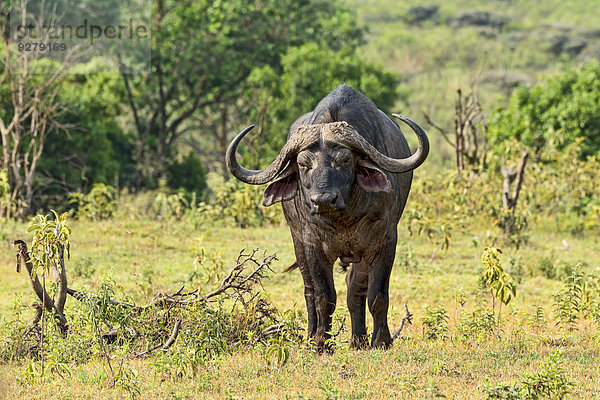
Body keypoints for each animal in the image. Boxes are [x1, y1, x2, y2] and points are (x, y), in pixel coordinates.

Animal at [227, 84, 428, 350]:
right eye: (303, 164)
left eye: (345, 160)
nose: (323, 200)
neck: (343, 217)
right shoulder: (312, 246)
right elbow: (324, 297)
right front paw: (322, 343)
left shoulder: (384, 241)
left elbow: (376, 296)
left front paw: (381, 341)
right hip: (298, 243)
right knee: (309, 291)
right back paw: (312, 335)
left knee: (355, 290)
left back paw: (358, 340)